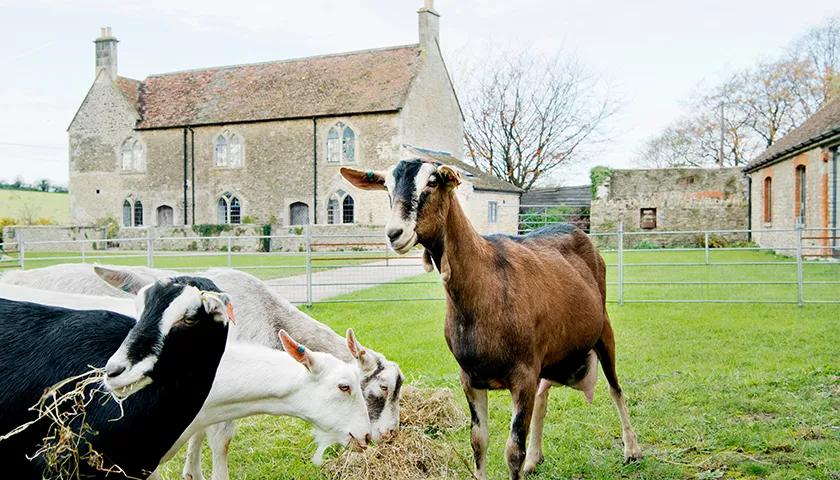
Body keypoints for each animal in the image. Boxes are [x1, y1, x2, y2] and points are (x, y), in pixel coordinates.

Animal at [342, 160, 642, 479]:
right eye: (387, 186)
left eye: (432, 182)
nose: (394, 233)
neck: (485, 283)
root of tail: (579, 232)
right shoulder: (470, 377)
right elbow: (478, 441)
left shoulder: (523, 374)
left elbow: (513, 451)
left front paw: (522, 458)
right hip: (554, 352)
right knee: (544, 394)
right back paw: (536, 458)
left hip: (603, 330)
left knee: (615, 387)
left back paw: (632, 450)